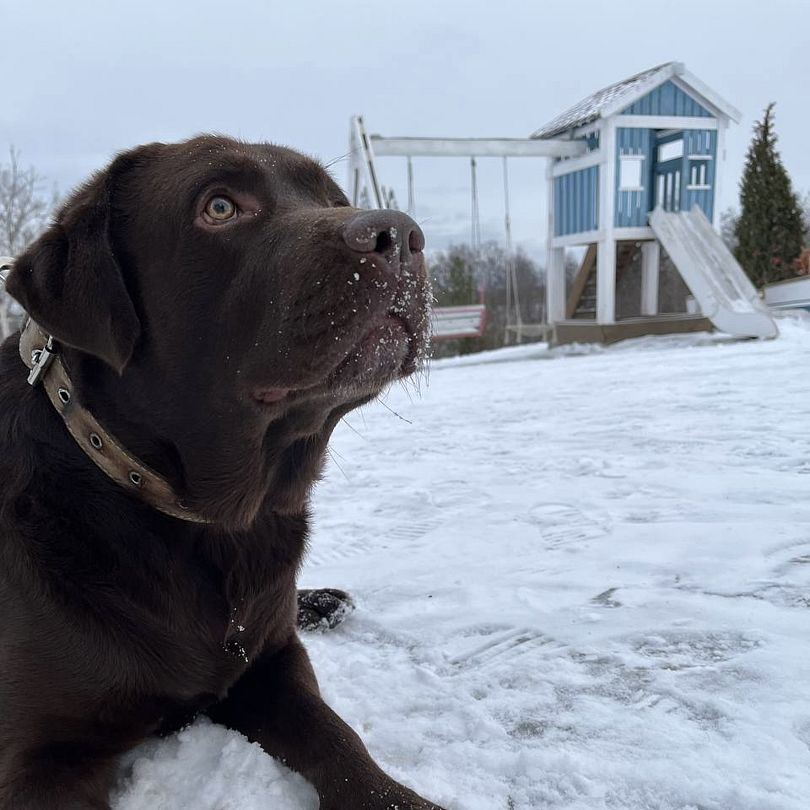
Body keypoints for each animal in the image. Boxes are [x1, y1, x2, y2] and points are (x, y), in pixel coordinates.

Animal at [0, 136, 444, 809]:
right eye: (219, 206)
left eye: (333, 200)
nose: (401, 234)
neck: (215, 522)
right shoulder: (36, 761)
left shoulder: (273, 664)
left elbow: (338, 737)